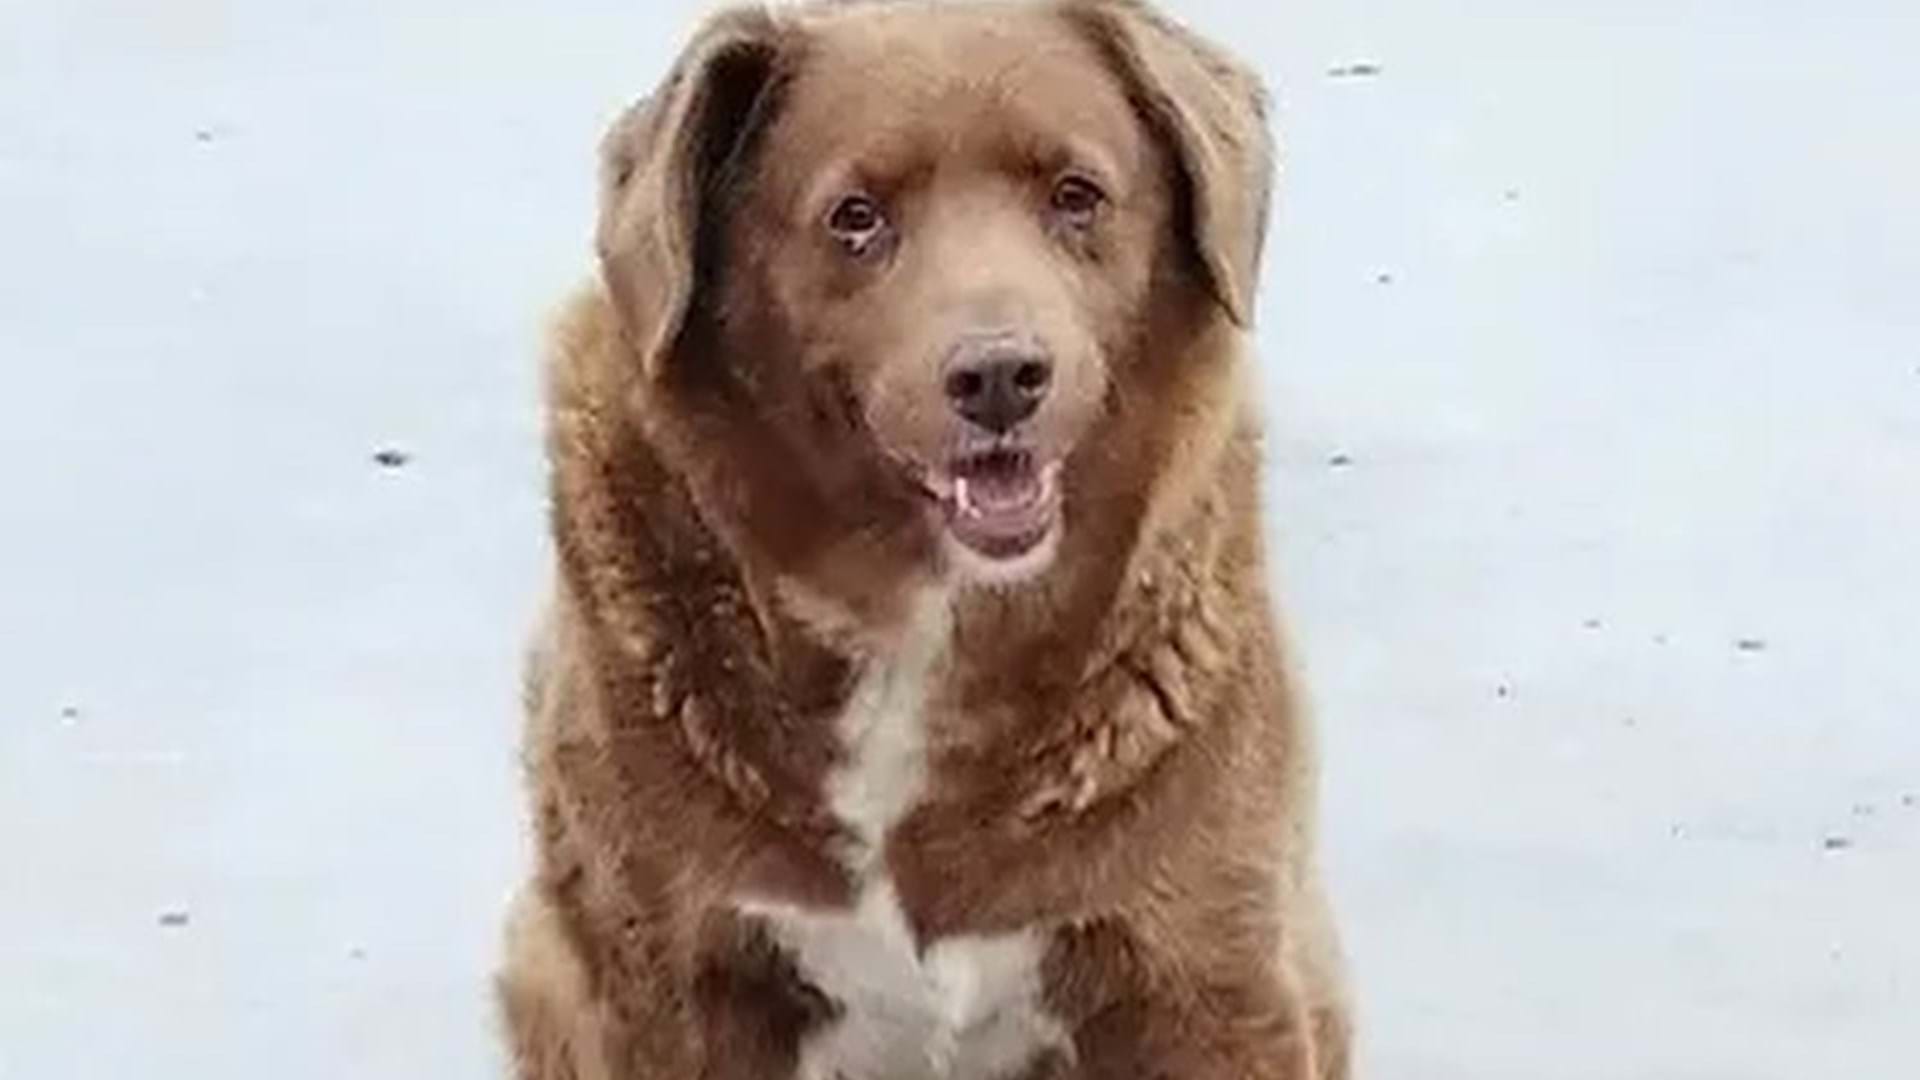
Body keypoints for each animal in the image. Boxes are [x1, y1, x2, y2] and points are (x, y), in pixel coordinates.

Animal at [503, 2, 1359, 1068]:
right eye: (856, 217)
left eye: (1076, 196)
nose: (999, 376)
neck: (924, 627)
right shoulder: (674, 982)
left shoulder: (1203, 975)